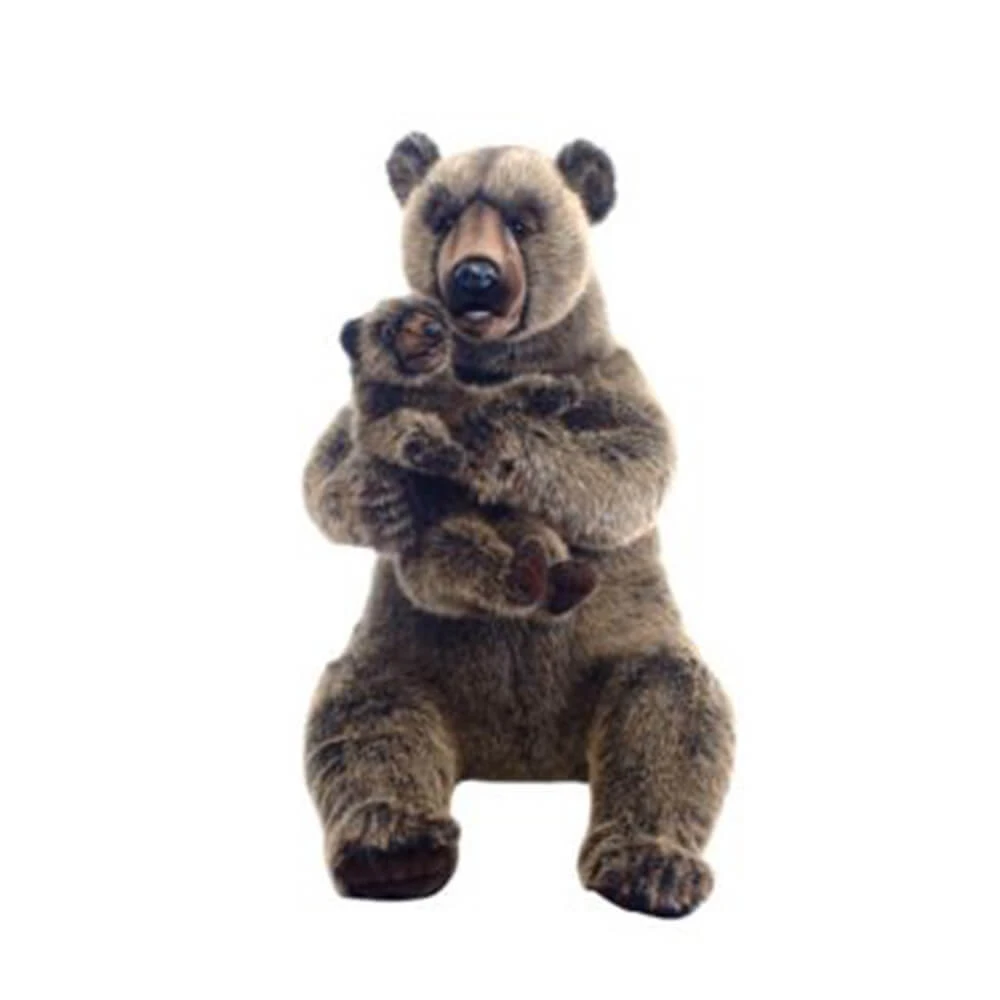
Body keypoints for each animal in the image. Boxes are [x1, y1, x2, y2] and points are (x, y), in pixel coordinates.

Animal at [340, 293, 598, 618]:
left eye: (429, 314)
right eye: (391, 328)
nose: (432, 330)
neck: (425, 392)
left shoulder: (470, 404)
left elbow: (506, 395)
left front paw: (559, 390)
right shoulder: (376, 425)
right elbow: (402, 428)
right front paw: (440, 452)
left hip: (512, 518)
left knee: (540, 536)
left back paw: (567, 578)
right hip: (433, 554)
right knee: (465, 556)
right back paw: (525, 576)